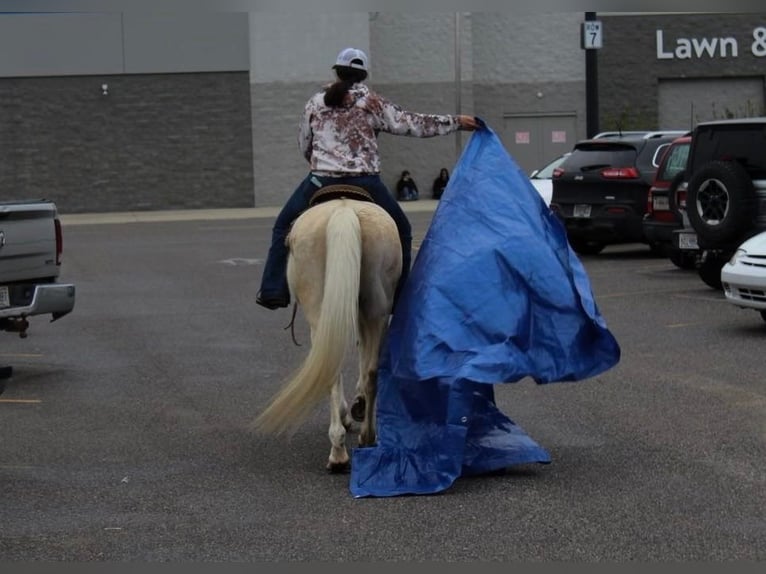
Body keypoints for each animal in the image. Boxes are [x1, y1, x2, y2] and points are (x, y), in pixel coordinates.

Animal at [256, 189, 404, 472]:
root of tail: (344, 212)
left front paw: (351, 411)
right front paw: (359, 405)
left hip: (319, 312)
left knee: (330, 369)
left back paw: (338, 452)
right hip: (377, 309)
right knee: (371, 370)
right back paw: (368, 436)